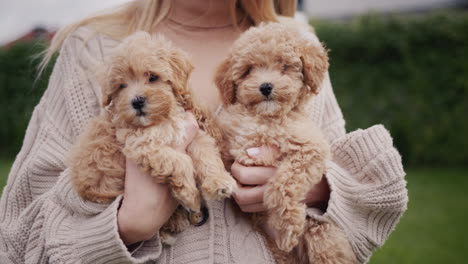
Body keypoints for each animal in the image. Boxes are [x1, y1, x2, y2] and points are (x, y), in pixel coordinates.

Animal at [67, 32, 236, 244]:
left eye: (153, 77)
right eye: (122, 86)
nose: (137, 101)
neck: (163, 118)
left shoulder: (192, 133)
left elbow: (206, 155)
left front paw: (219, 182)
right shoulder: (141, 144)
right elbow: (180, 161)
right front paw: (189, 194)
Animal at [215, 23, 354, 264]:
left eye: (285, 66)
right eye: (249, 70)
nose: (265, 86)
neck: (266, 120)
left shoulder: (310, 149)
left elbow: (285, 183)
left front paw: (287, 225)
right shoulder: (230, 144)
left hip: (320, 230)